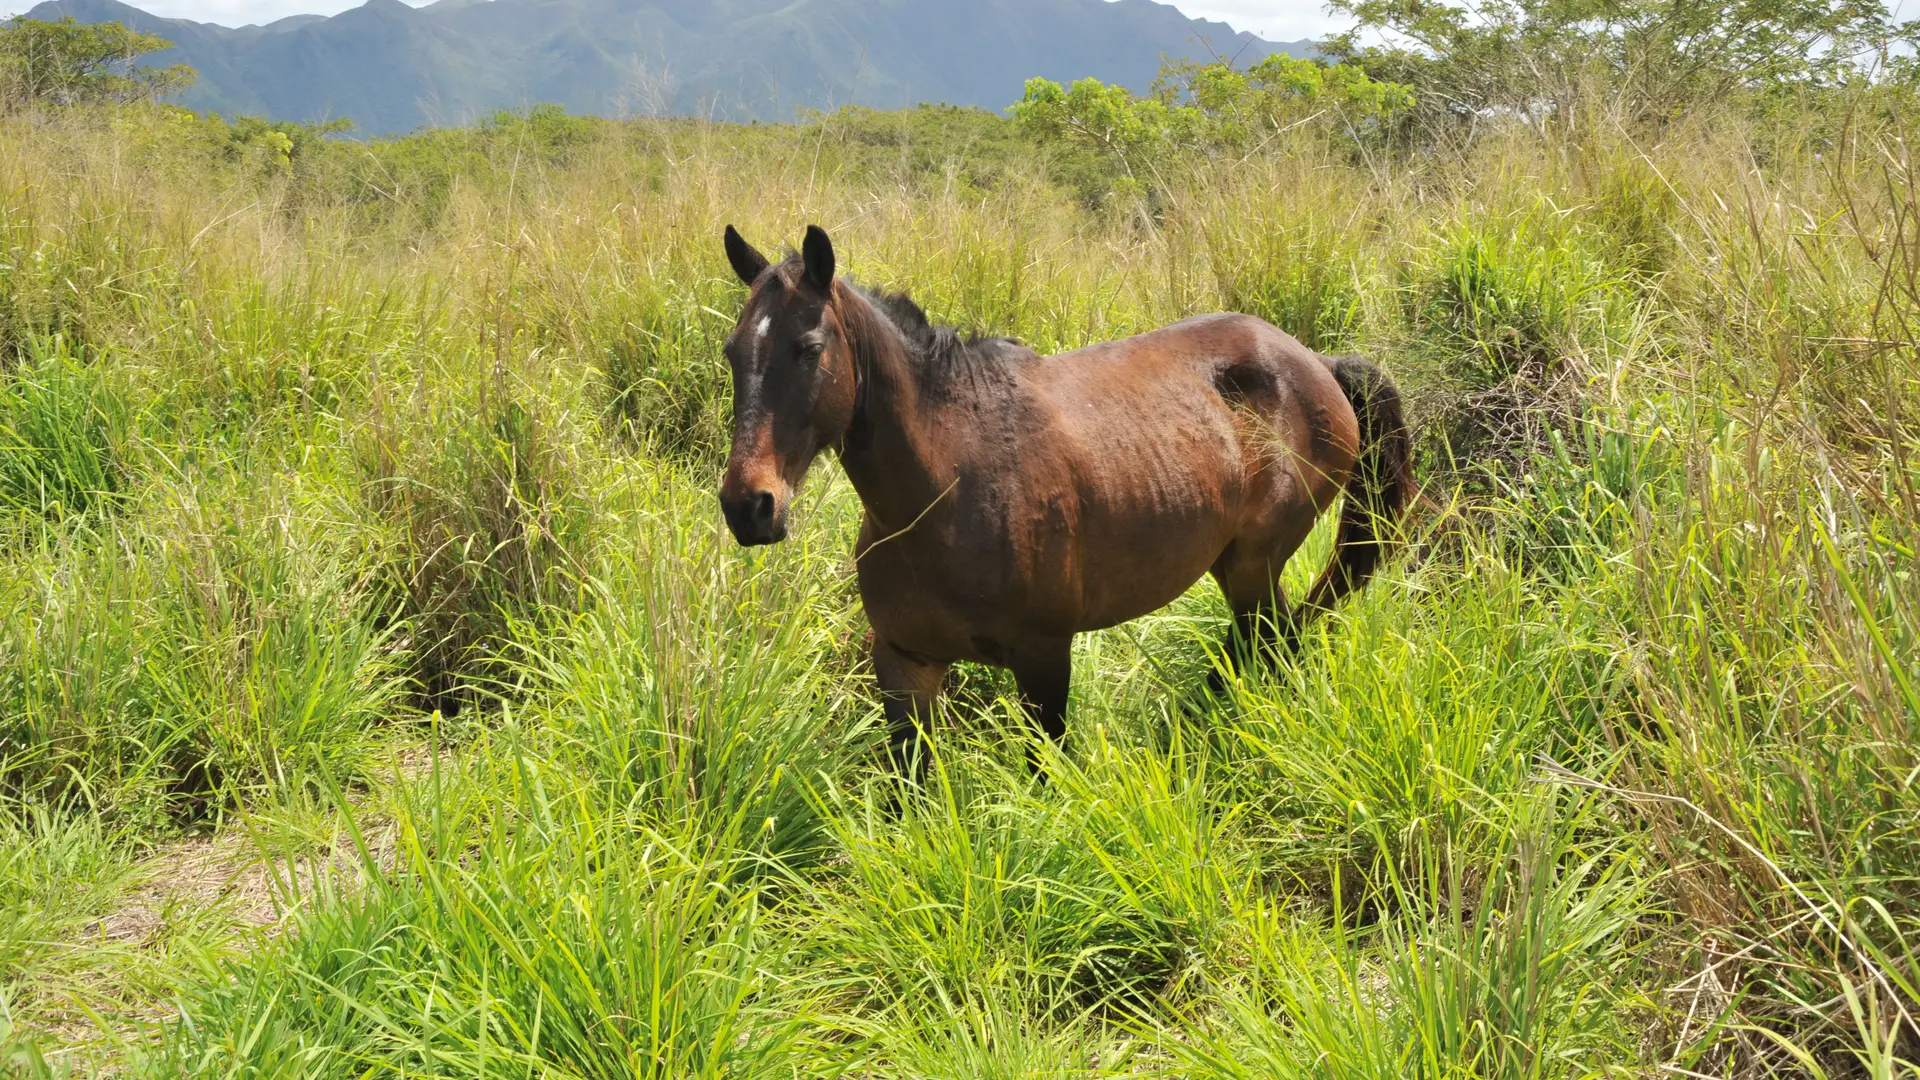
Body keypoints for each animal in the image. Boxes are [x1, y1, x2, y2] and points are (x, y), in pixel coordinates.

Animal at [721, 222, 1413, 768]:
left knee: (1270, 648)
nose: (747, 506)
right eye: (732, 352)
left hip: (1254, 566)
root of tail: (1318, 364)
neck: (945, 491)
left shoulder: (1044, 660)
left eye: (809, 350)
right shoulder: (904, 666)